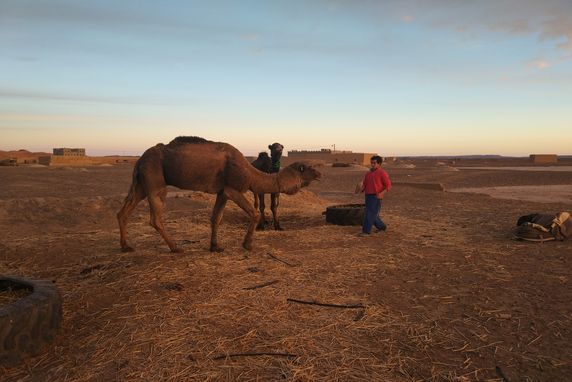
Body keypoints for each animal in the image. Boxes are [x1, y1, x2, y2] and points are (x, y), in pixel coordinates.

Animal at [116, 136, 322, 252]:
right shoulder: (233, 189)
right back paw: (175, 247)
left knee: (123, 212)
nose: (320, 173)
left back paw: (126, 246)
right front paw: (247, 245)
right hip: (154, 178)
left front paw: (215, 247)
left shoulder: (222, 192)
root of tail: (140, 159)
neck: (251, 173)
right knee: (155, 218)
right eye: (306, 168)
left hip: (141, 183)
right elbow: (254, 213)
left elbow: (216, 218)